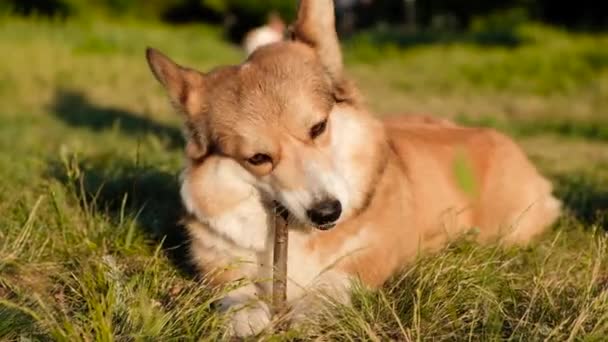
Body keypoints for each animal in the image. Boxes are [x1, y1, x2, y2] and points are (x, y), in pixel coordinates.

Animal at [144, 0, 560, 336]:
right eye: (258, 159)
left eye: (317, 128)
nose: (327, 213)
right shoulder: (220, 260)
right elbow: (235, 289)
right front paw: (245, 315)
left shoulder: (366, 258)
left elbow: (333, 284)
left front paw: (308, 312)